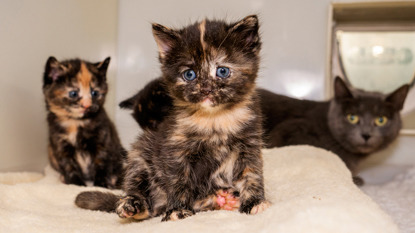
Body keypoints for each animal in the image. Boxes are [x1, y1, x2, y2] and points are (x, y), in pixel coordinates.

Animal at [43, 57, 127, 189]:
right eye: (73, 93)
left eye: (95, 93)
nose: (87, 105)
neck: (75, 123)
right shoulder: (60, 146)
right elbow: (69, 166)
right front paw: (76, 184)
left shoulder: (102, 141)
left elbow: (101, 163)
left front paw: (101, 184)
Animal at [75, 15, 270, 222]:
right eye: (189, 74)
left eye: (222, 71)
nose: (206, 88)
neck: (214, 119)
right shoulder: (176, 149)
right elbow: (179, 181)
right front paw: (178, 209)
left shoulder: (249, 145)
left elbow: (252, 174)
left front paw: (255, 202)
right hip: (139, 155)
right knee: (141, 196)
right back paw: (132, 205)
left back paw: (221, 199)